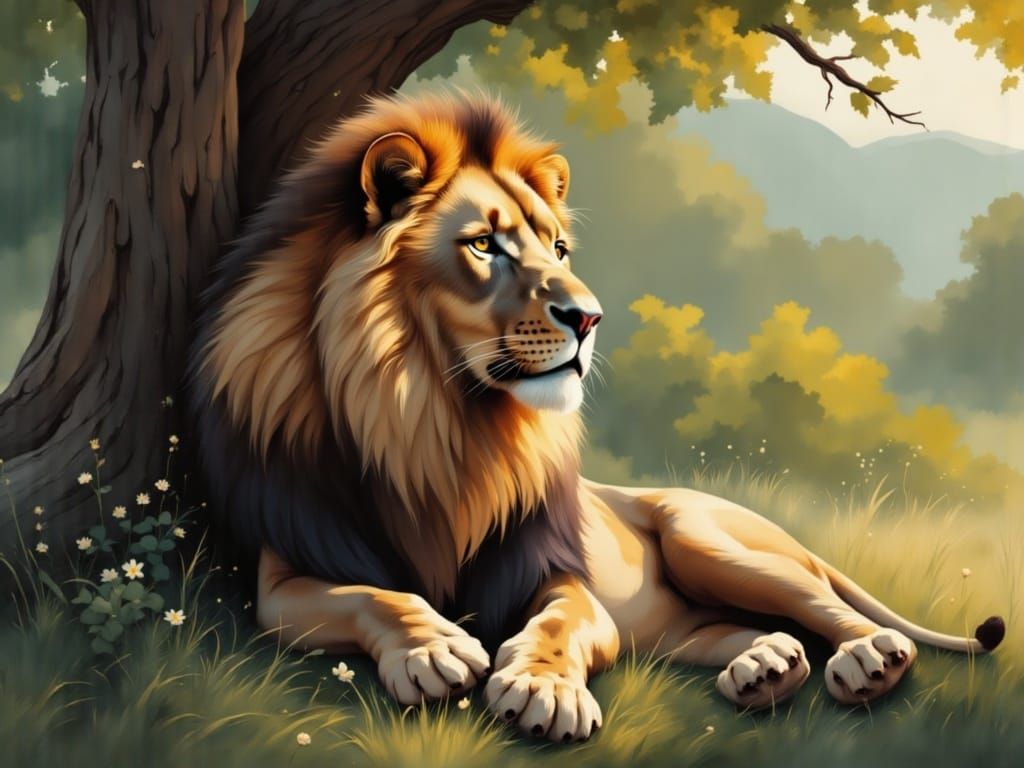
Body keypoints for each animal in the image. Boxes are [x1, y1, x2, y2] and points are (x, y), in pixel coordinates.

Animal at [189, 92, 1005, 742]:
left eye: (557, 246)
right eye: (483, 245)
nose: (589, 318)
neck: (434, 417)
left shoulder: (557, 572)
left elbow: (557, 624)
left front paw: (543, 689)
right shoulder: (289, 573)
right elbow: (376, 594)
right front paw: (432, 647)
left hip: (707, 538)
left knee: (833, 609)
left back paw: (868, 659)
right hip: (686, 616)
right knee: (746, 631)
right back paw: (765, 665)